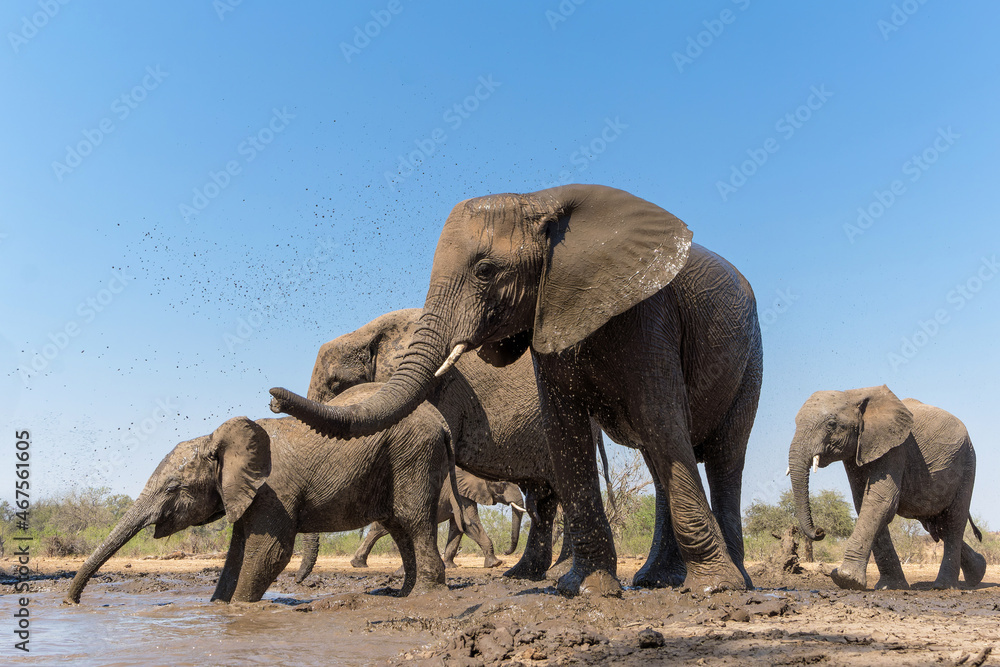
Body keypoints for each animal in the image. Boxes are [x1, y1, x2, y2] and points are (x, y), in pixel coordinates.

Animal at [66, 384, 458, 603]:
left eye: (173, 488)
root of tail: (442, 423)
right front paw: (216, 608)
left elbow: (269, 552)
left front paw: (241, 610)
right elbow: (236, 553)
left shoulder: (273, 492)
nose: (72, 602)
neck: (217, 439)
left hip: (413, 453)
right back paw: (404, 594)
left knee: (412, 518)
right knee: (398, 526)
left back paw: (425, 596)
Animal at [294, 468, 526, 582]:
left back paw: (358, 564)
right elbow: (469, 524)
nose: (507, 552)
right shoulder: (459, 491)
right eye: (502, 484)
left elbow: (458, 527)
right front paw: (495, 563)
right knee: (381, 530)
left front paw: (450, 565)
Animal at [788, 384, 986, 591]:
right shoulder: (858, 450)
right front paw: (889, 586)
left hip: (968, 462)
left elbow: (880, 501)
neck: (854, 394)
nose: (819, 531)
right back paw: (978, 573)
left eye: (832, 424)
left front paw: (846, 579)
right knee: (937, 526)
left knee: (954, 521)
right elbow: (864, 503)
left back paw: (943, 586)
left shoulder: (896, 447)